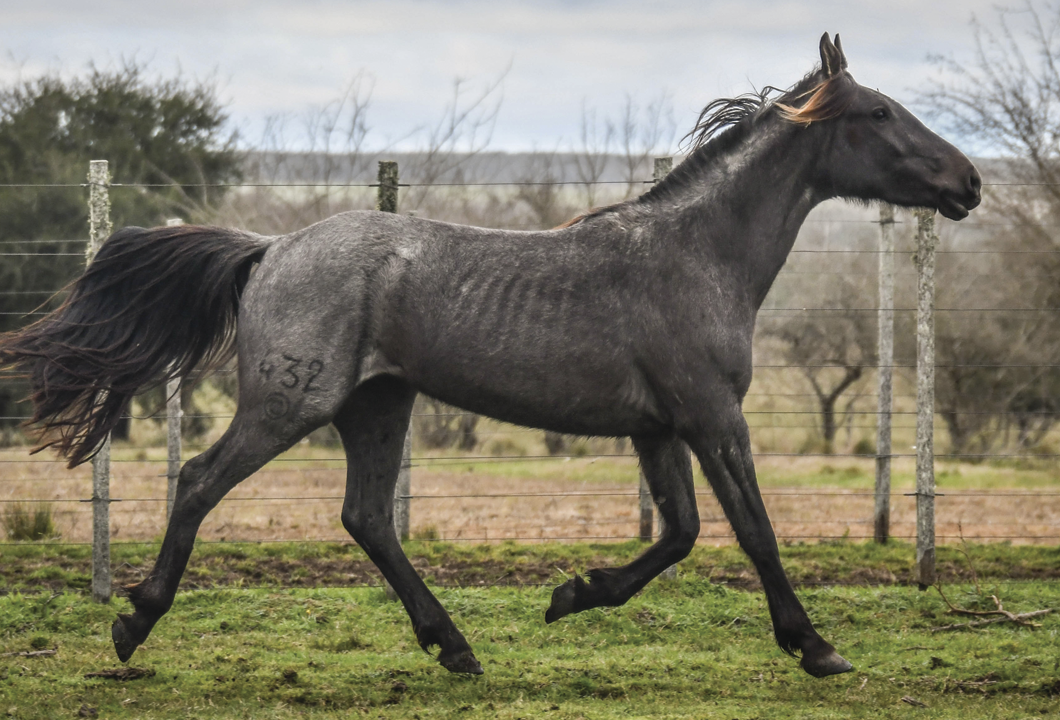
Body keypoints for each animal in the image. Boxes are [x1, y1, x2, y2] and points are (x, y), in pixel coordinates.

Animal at [0, 35, 979, 682]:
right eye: (881, 112)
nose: (968, 181)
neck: (697, 255)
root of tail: (270, 248)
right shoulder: (712, 416)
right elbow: (752, 530)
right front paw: (817, 647)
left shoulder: (658, 428)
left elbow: (680, 533)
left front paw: (571, 594)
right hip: (292, 405)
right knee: (201, 481)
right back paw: (134, 623)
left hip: (378, 405)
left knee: (368, 517)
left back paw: (456, 647)